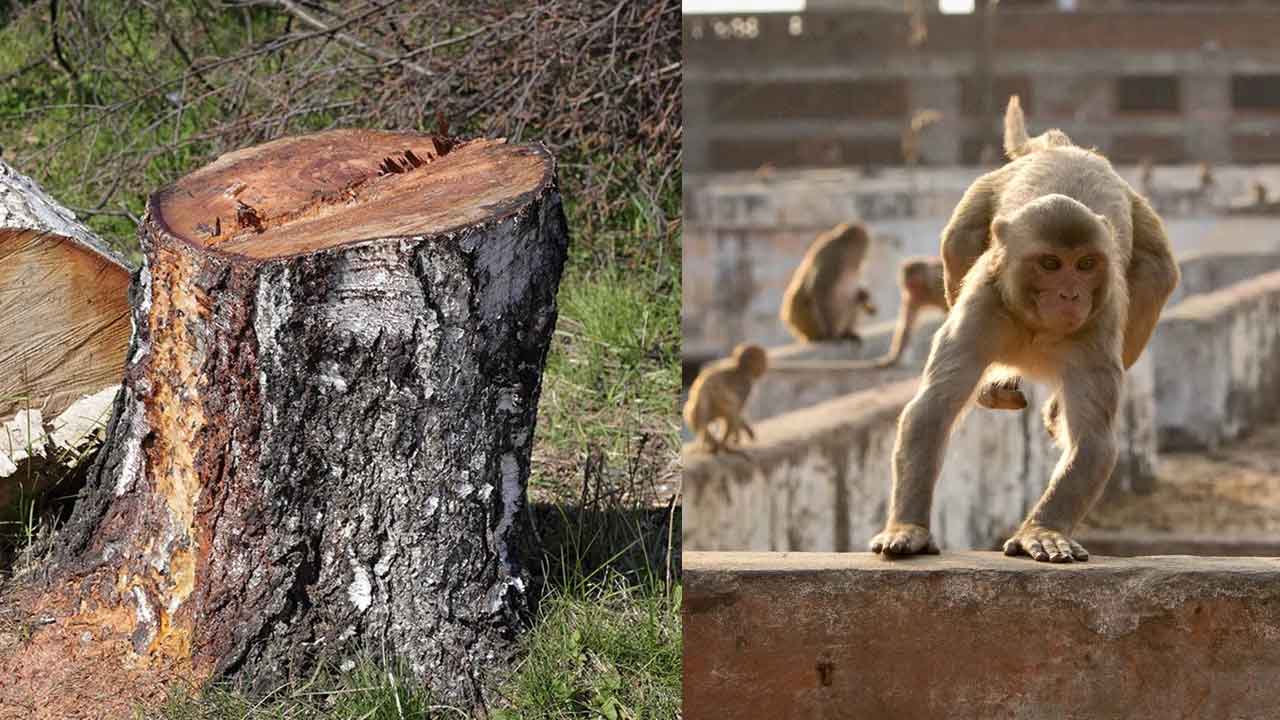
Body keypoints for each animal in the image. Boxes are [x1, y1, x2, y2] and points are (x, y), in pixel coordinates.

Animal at [870, 94, 1178, 563]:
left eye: (1085, 264)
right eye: (1050, 263)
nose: (1070, 295)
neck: (1037, 326)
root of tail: (1064, 148)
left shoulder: (1099, 324)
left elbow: (1093, 440)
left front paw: (1043, 530)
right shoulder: (980, 308)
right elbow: (931, 411)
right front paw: (908, 528)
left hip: (1143, 232)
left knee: (1157, 275)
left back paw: (1051, 408)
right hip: (978, 202)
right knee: (959, 239)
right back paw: (996, 387)